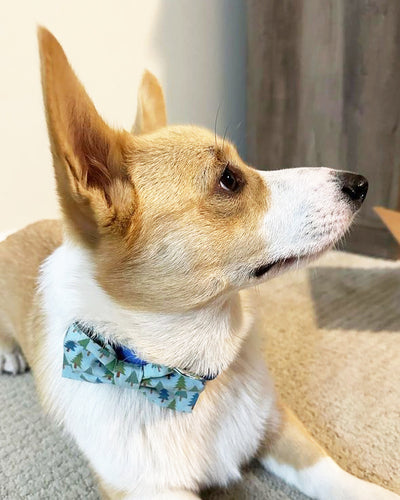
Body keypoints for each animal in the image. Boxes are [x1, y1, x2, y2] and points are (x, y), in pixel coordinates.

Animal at [0, 27, 396, 500]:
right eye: (228, 179)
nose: (361, 184)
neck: (186, 374)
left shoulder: (277, 421)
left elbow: (329, 473)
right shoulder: (147, 490)